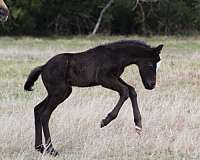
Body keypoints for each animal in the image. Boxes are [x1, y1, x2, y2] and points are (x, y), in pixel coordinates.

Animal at [24, 40, 163, 156]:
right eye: (151, 66)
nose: (151, 85)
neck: (116, 55)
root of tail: (43, 67)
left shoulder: (115, 77)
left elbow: (132, 90)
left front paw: (138, 125)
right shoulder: (104, 79)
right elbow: (125, 91)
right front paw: (105, 120)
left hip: (59, 92)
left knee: (37, 109)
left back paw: (40, 148)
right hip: (60, 92)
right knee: (45, 114)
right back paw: (51, 150)